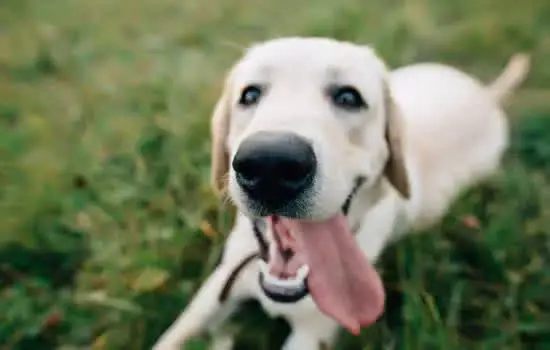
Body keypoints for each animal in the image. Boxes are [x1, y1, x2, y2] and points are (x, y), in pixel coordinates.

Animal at [153, 37, 532, 348]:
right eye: (250, 95)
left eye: (349, 97)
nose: (270, 165)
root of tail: (486, 93)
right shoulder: (218, 286)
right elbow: (172, 335)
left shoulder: (313, 332)